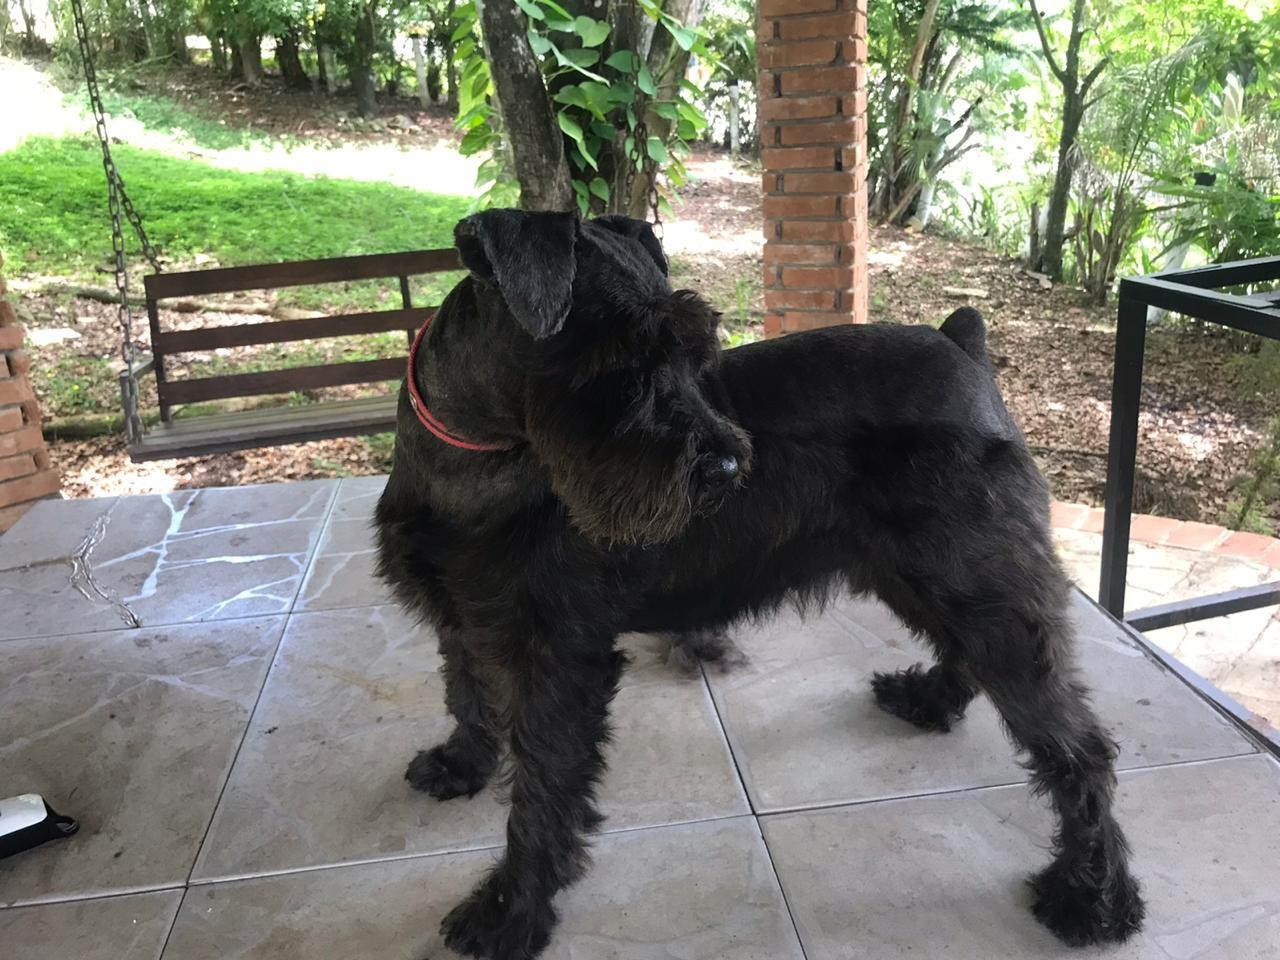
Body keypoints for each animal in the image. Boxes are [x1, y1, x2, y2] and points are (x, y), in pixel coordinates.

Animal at [373, 212, 1146, 960]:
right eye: (619, 354)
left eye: (693, 350)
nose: (724, 468)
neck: (476, 460)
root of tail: (964, 345)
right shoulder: (461, 618)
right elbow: (467, 694)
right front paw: (462, 763)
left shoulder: (557, 661)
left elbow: (540, 795)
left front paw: (508, 910)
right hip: (931, 576)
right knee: (972, 656)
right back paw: (930, 700)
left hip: (977, 579)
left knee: (1080, 748)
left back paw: (1094, 898)